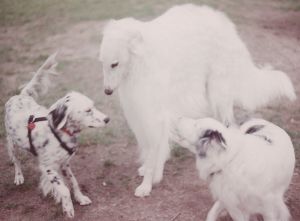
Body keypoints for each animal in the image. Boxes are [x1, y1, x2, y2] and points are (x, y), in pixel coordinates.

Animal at [4, 53, 110, 218]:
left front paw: (80, 198)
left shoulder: (65, 163)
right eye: (88, 110)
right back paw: (19, 176)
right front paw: (68, 208)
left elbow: (73, 182)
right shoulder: (48, 168)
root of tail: (19, 96)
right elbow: (64, 189)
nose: (107, 119)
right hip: (11, 143)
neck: (60, 132)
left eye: (94, 106)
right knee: (16, 161)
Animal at [98, 4, 296, 196]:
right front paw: (149, 171)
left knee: (229, 124)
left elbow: (154, 150)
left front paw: (147, 185)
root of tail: (224, 23)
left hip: (219, 92)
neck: (141, 61)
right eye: (103, 63)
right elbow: (150, 148)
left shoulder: (154, 115)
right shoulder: (140, 113)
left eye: (114, 64)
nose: (107, 91)